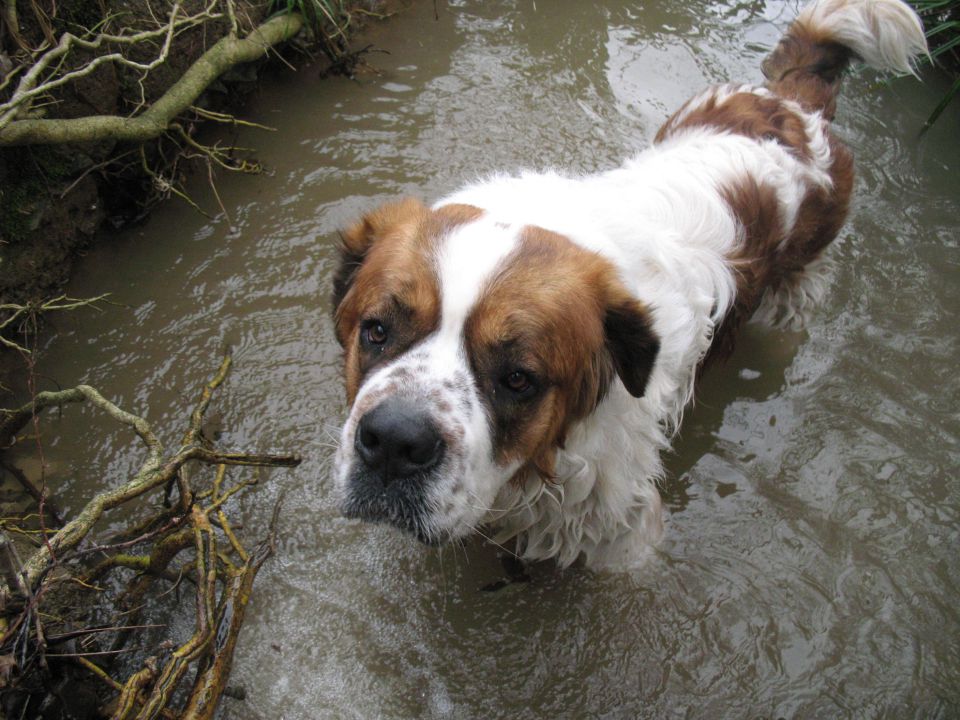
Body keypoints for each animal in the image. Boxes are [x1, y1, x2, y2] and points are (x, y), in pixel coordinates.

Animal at [328, 0, 924, 572]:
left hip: (795, 291)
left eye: (518, 378)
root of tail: (792, 104)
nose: (395, 441)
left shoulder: (620, 528)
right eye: (376, 331)